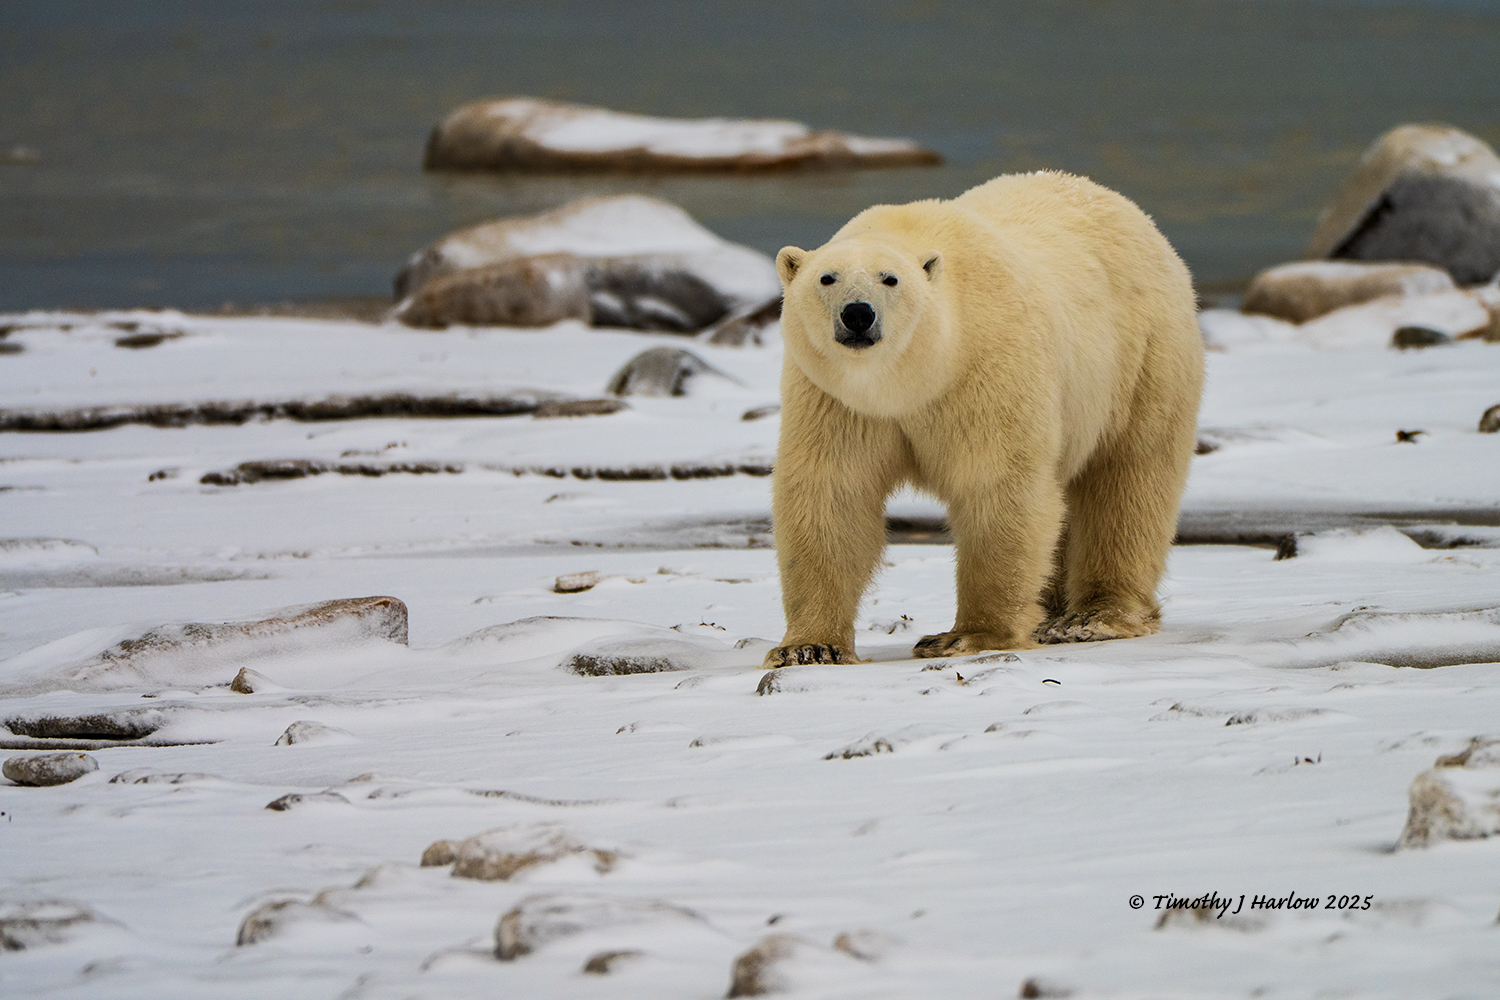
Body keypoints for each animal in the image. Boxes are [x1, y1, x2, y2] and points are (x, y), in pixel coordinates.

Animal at [764, 171, 1204, 668]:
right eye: (827, 277)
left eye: (890, 279)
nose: (858, 314)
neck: (911, 380)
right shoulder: (835, 400)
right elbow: (832, 493)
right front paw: (808, 647)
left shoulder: (986, 369)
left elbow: (997, 486)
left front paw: (967, 636)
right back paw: (1053, 614)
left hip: (1142, 361)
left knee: (1127, 483)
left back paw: (1092, 617)